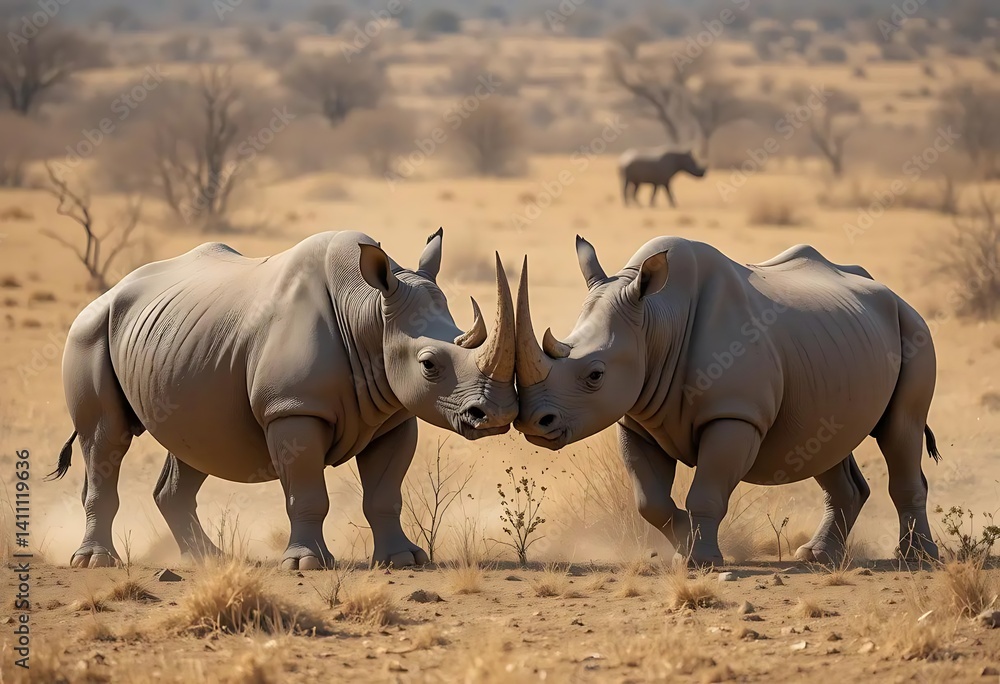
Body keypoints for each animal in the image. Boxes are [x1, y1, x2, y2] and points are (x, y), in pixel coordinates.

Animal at [49, 228, 517, 570]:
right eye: (429, 365)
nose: (495, 415)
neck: (368, 312)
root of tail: (109, 292)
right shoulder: (292, 409)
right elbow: (307, 491)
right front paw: (307, 564)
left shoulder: (394, 414)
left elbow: (385, 493)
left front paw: (404, 560)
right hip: (89, 331)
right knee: (106, 438)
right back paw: (94, 563)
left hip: (177, 347)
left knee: (193, 444)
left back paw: (209, 560)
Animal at [513, 235, 940, 566]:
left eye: (595, 375)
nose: (534, 421)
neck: (655, 321)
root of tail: (892, 293)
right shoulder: (636, 419)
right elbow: (649, 500)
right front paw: (684, 543)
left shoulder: (734, 415)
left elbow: (706, 492)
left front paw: (700, 559)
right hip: (836, 347)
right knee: (824, 444)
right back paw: (816, 556)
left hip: (912, 328)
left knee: (900, 430)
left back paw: (916, 559)